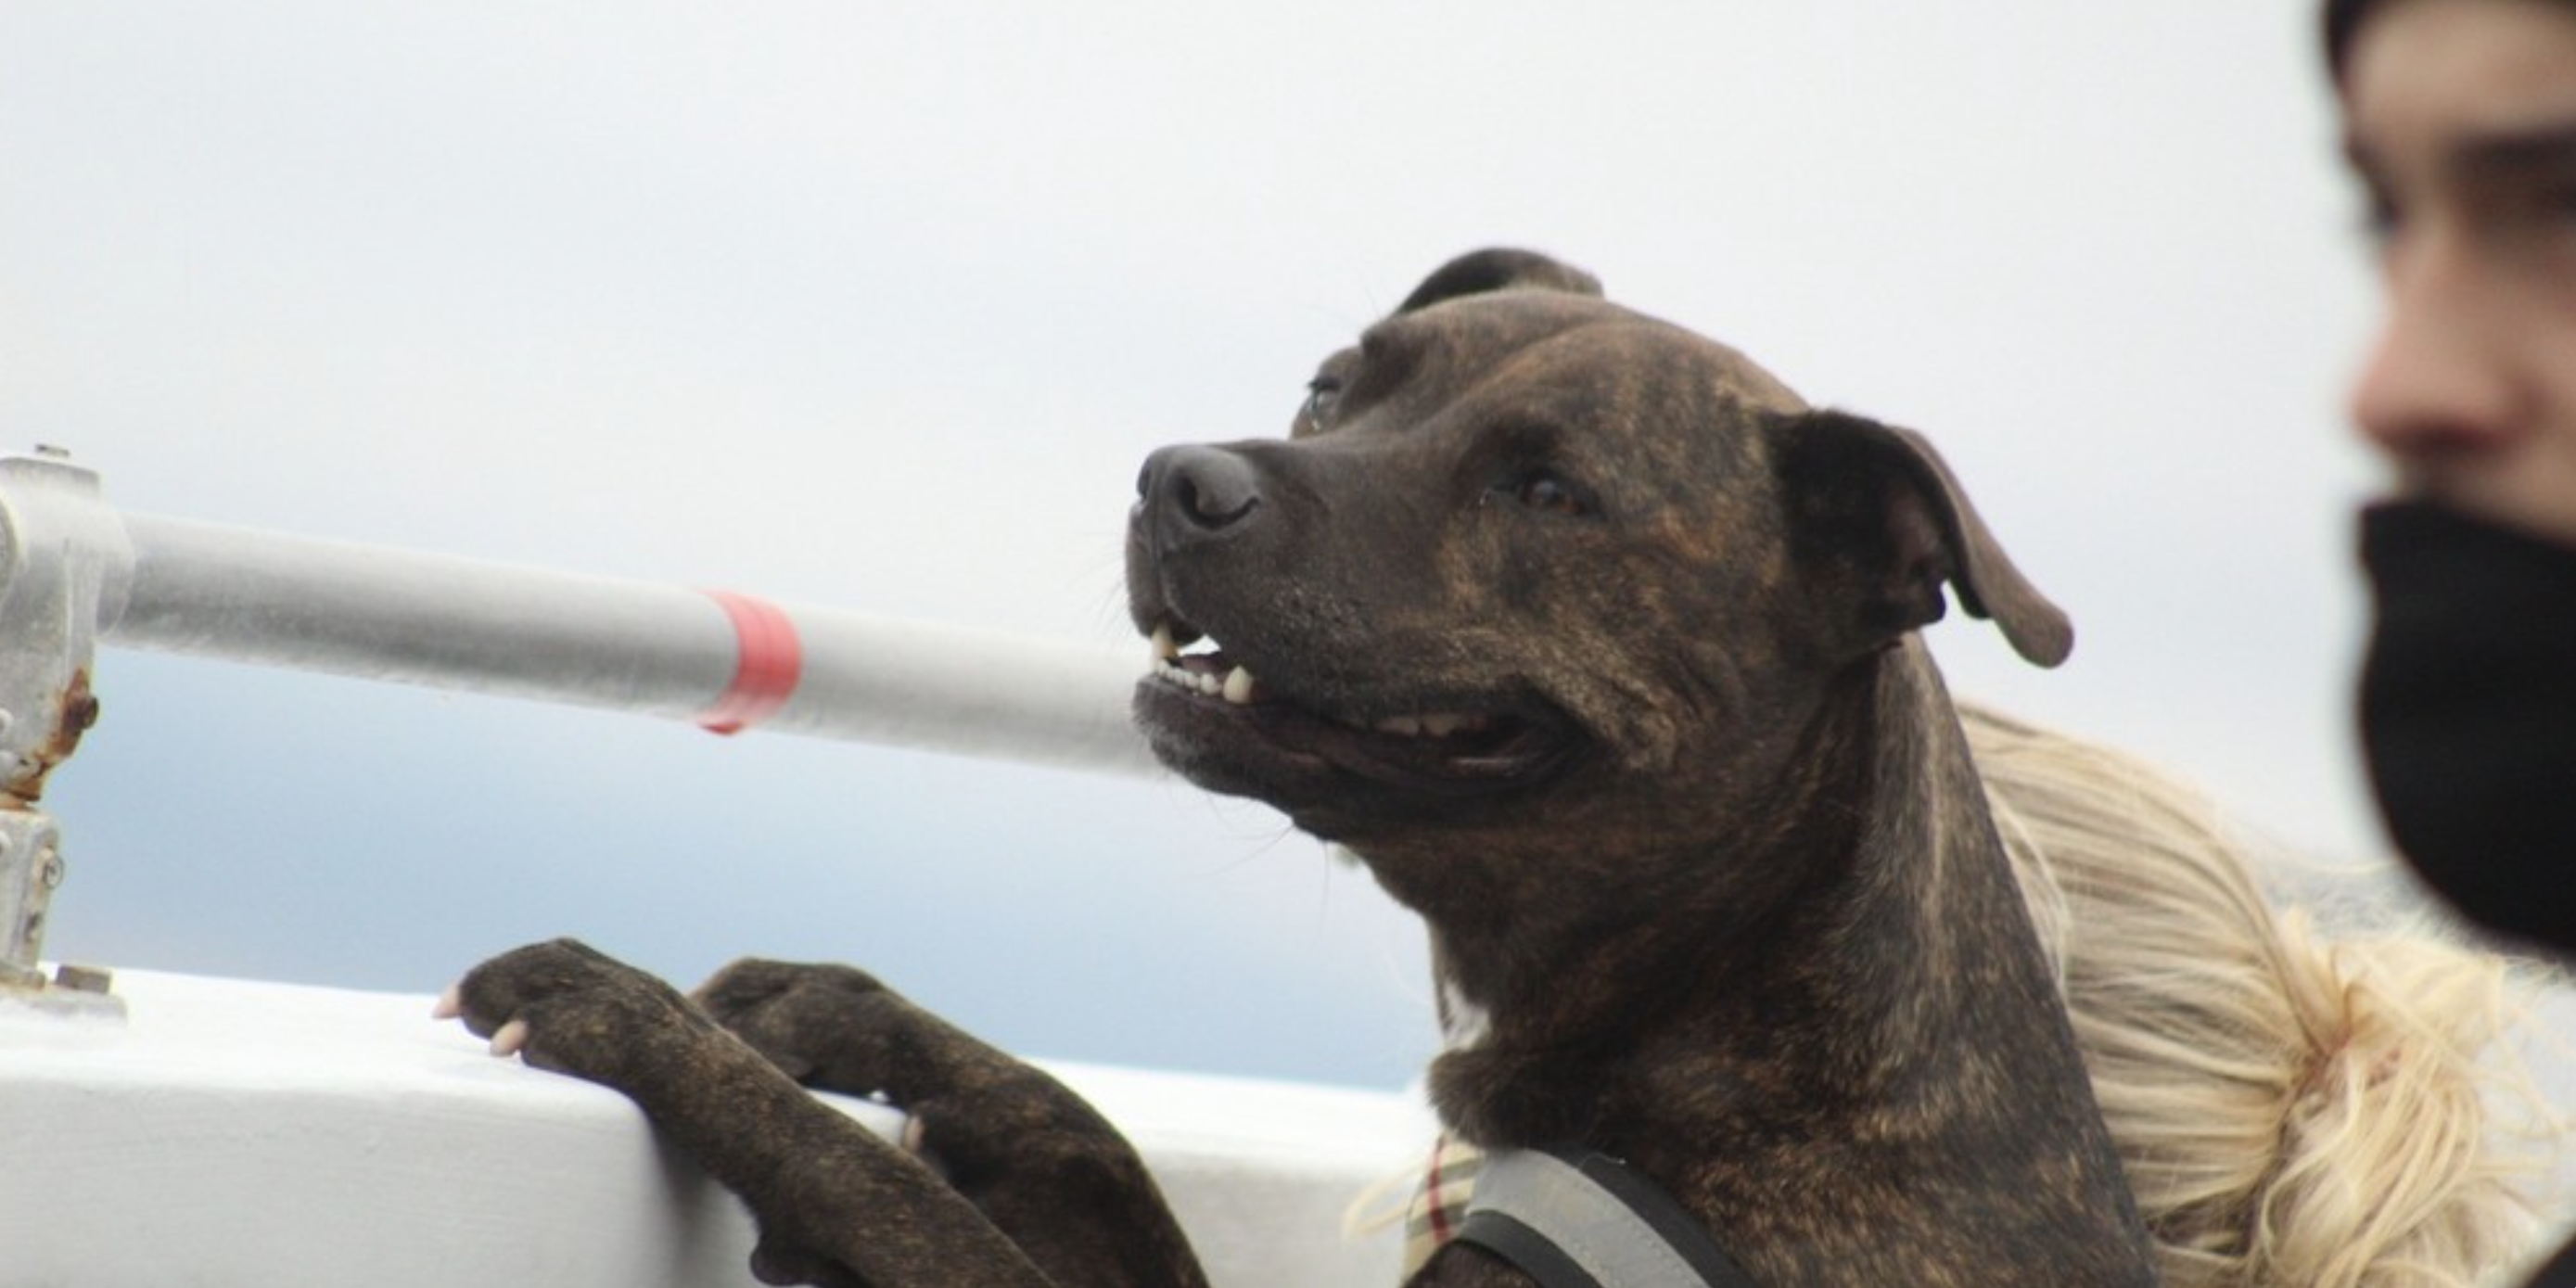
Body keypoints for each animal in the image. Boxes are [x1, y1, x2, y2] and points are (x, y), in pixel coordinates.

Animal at [442, 250, 2153, 1288]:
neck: (1749, 1008)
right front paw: (846, 1010)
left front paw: (634, 1015)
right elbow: (1083, 1129)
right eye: (1335, 385)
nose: (1174, 480)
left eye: (1547, 490)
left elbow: (884, 1185)